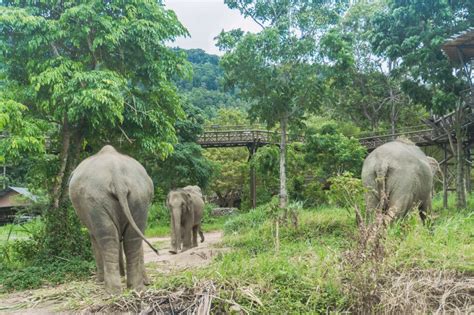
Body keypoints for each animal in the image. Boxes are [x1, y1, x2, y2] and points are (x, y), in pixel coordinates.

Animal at [69, 145, 157, 294]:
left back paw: (112, 291)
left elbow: (94, 239)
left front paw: (99, 281)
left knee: (107, 236)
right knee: (132, 237)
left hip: (95, 201)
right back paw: (136, 288)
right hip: (140, 197)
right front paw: (144, 282)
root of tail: (117, 177)